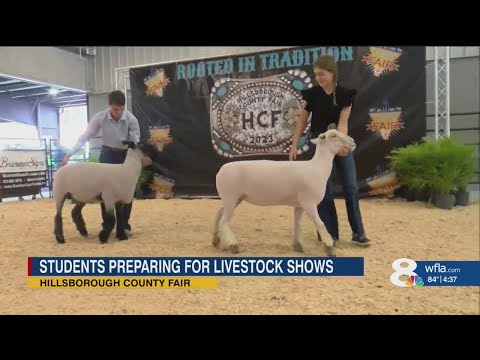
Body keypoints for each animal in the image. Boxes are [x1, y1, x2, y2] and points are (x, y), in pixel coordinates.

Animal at [213, 128, 356, 258]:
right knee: (224, 221)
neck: (317, 167)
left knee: (219, 214)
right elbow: (321, 224)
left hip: (235, 198)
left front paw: (298, 245)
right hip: (230, 197)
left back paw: (216, 239)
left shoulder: (300, 205)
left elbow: (297, 224)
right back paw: (232, 245)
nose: (353, 142)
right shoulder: (309, 202)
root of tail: (220, 171)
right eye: (333, 135)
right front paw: (329, 248)